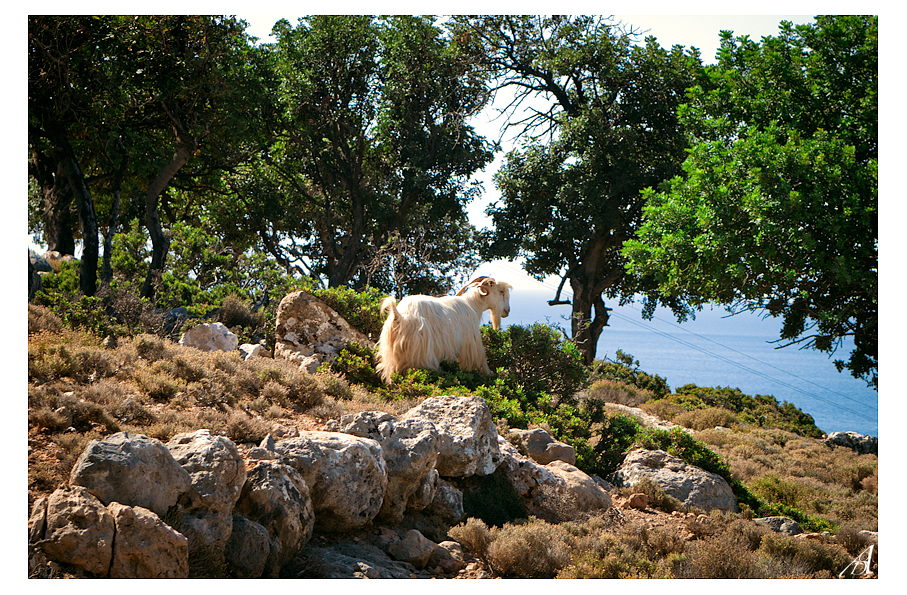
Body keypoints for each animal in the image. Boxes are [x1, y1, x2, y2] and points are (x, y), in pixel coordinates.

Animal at [374, 278, 510, 384]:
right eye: (501, 291)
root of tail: (399, 317)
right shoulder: (471, 346)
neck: (472, 305)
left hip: (391, 356)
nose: (507, 311)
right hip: (421, 354)